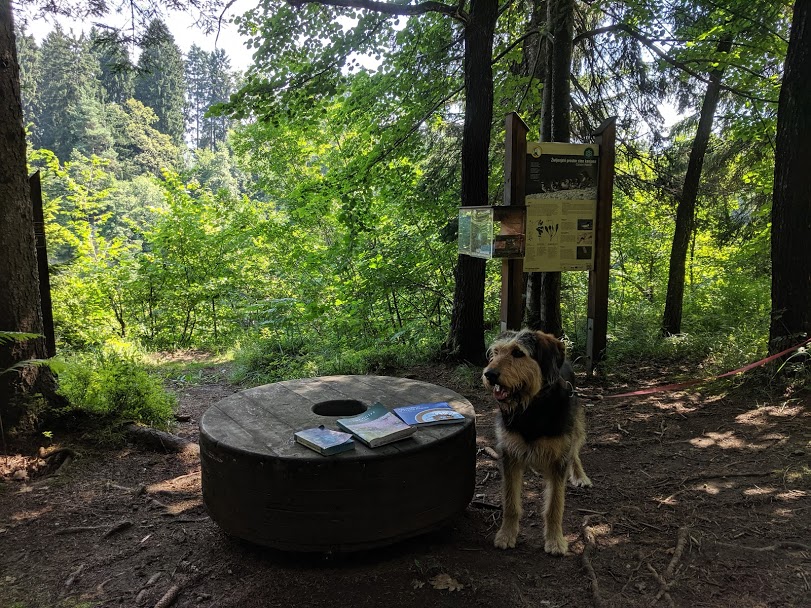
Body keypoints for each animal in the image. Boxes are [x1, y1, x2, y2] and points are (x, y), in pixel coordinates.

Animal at [482, 330, 588, 552]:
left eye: (517, 353)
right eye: (495, 352)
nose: (489, 374)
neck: (532, 409)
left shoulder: (558, 460)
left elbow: (554, 506)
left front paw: (555, 540)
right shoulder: (510, 456)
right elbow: (510, 503)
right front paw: (506, 534)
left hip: (575, 425)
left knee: (575, 451)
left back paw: (580, 475)